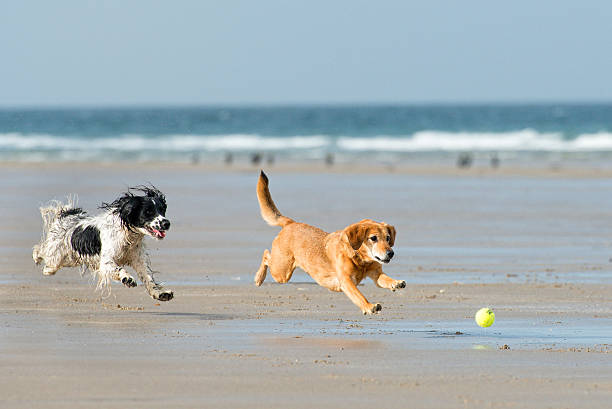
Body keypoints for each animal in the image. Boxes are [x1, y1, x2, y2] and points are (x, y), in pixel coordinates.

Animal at [33, 185, 173, 300]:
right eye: (148, 212)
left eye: (162, 210)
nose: (166, 223)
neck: (128, 237)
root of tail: (67, 214)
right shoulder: (106, 262)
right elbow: (118, 269)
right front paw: (127, 278)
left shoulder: (138, 261)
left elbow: (148, 278)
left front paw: (160, 293)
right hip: (55, 256)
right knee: (41, 252)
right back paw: (36, 258)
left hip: (70, 259)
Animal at [253, 171, 406, 314]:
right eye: (373, 238)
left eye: (388, 238)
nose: (391, 253)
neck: (361, 260)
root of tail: (290, 223)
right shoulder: (346, 281)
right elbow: (359, 296)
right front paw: (369, 306)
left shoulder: (376, 274)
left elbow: (385, 279)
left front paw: (396, 283)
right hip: (281, 272)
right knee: (266, 255)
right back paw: (259, 278)